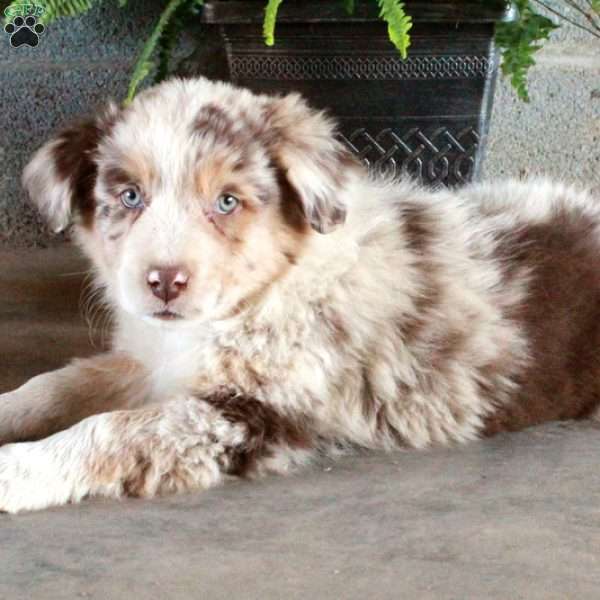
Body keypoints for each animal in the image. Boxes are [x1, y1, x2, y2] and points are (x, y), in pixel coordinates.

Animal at [1, 77, 600, 512]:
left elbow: (115, 429)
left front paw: (19, 470)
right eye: (130, 196)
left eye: (226, 202)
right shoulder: (150, 357)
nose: (165, 281)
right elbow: (58, 385)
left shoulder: (258, 410)